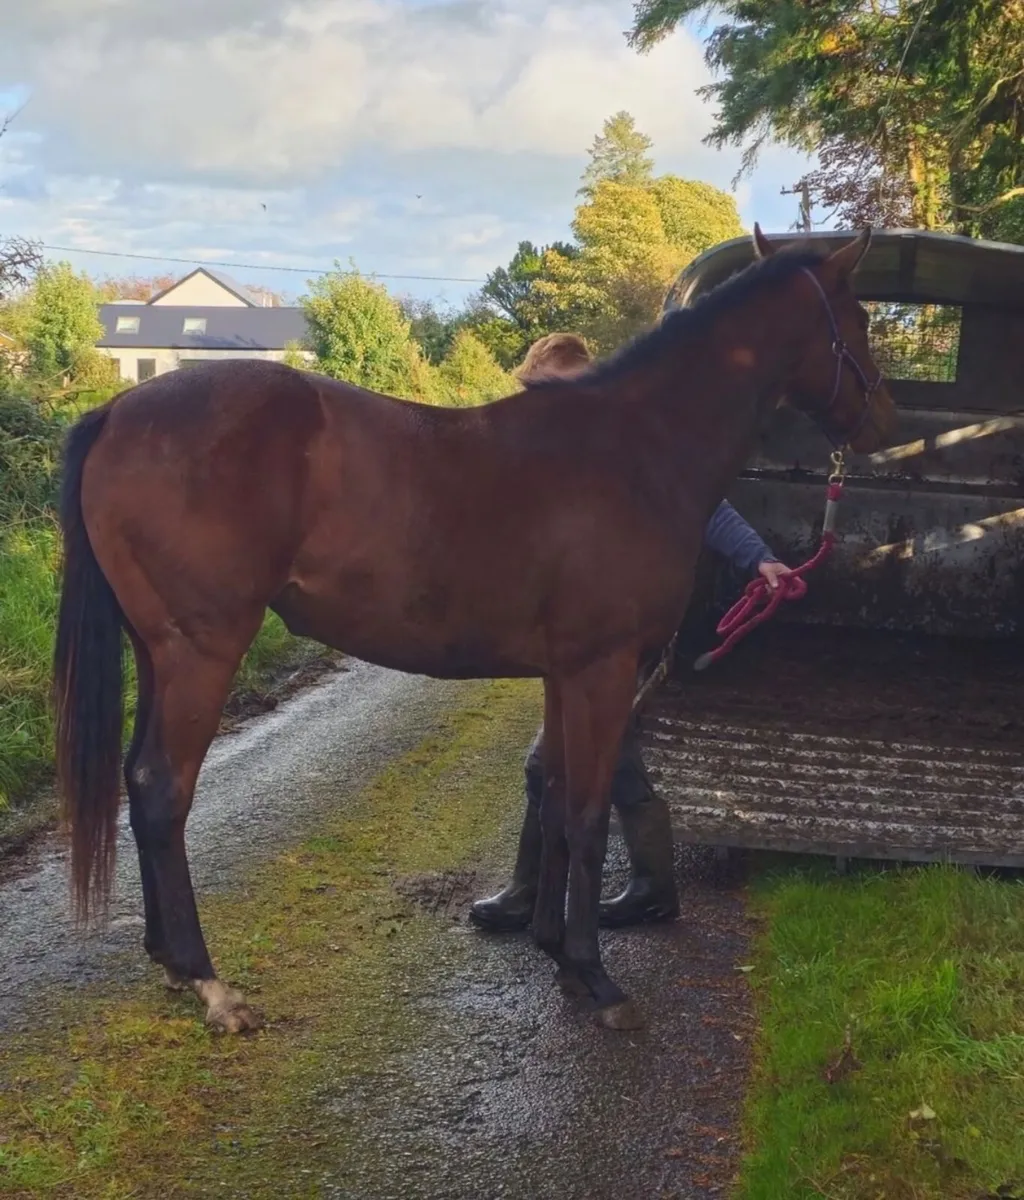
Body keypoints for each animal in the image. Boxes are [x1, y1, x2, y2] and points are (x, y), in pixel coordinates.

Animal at [53, 225, 896, 1034]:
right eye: (857, 317)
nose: (884, 420)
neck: (639, 448)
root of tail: (117, 411)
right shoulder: (604, 668)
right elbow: (587, 816)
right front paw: (597, 977)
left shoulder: (564, 674)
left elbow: (554, 801)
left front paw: (556, 950)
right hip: (202, 649)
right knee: (164, 789)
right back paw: (209, 984)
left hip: (157, 651)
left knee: (137, 782)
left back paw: (169, 962)